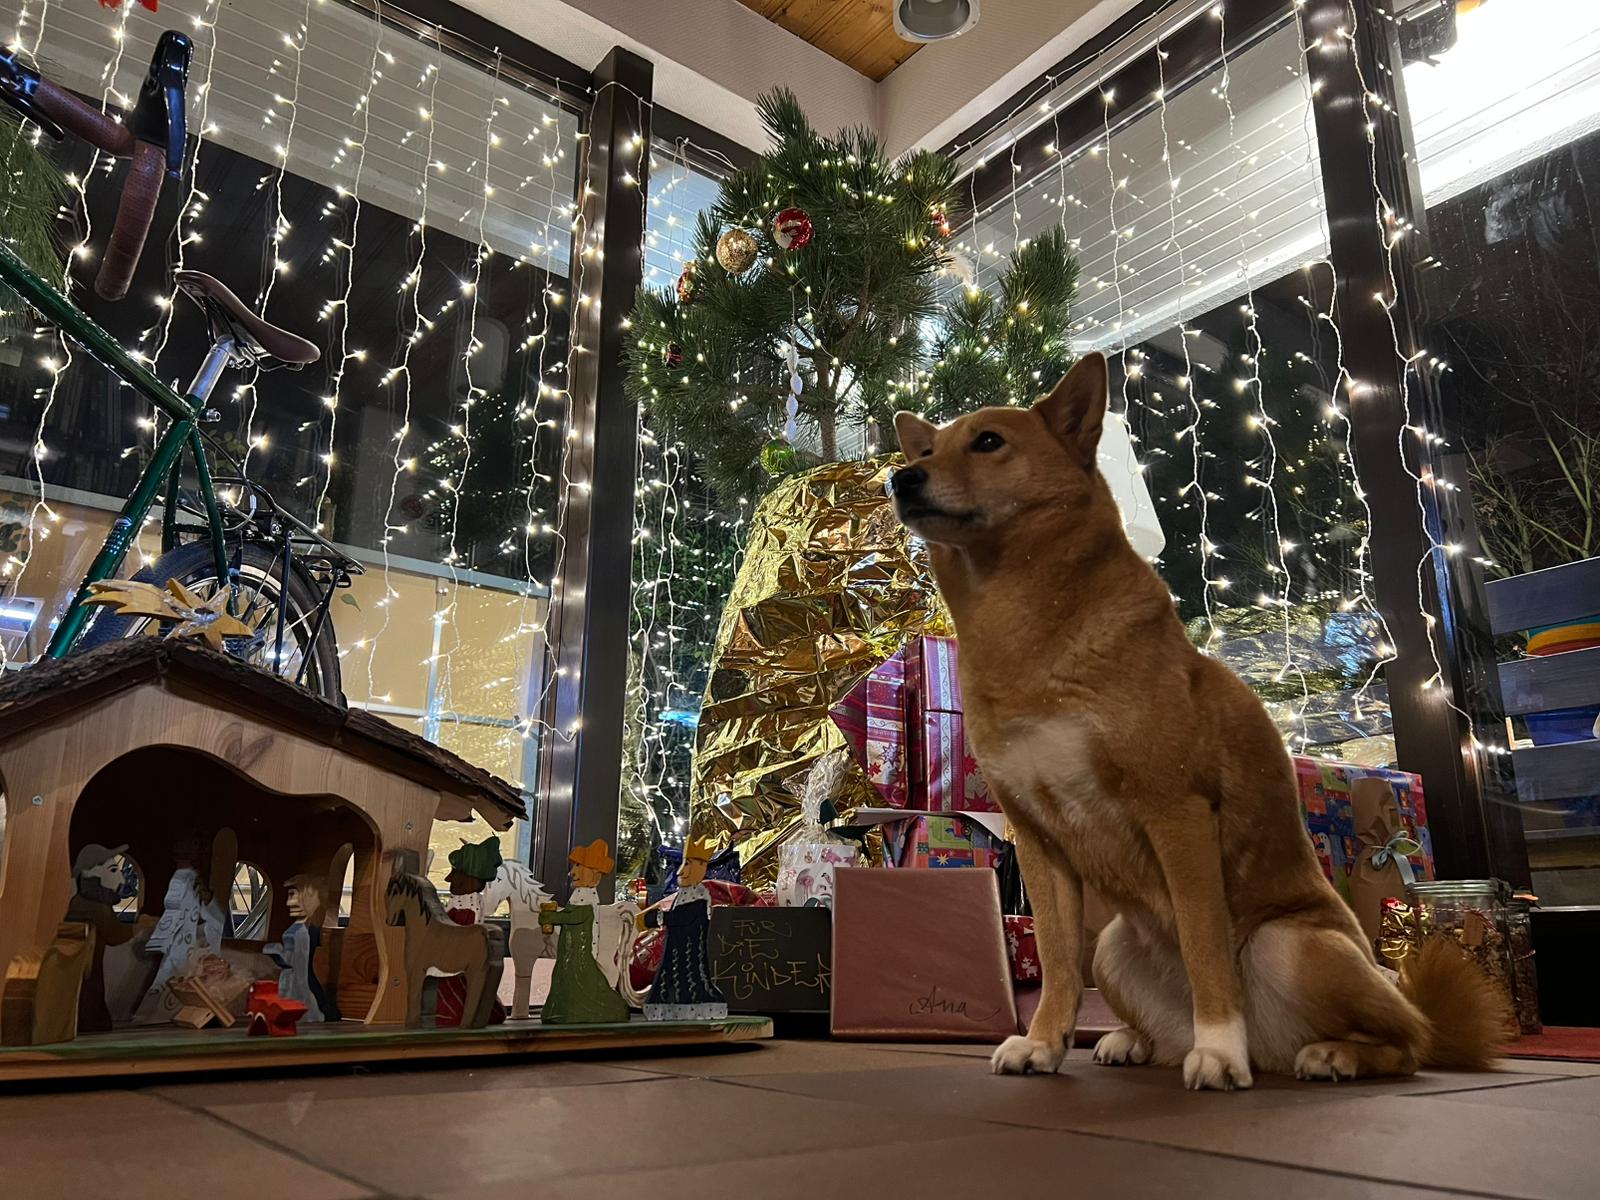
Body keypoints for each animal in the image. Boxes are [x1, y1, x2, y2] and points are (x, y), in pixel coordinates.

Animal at [891, 352, 1508, 1090]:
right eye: (925, 451)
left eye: (988, 441)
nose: (900, 477)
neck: (1024, 628)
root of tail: (1273, 1047)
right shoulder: (1039, 840)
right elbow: (1060, 962)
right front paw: (1042, 1043)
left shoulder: (1176, 810)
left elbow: (1204, 943)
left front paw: (1218, 1051)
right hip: (1116, 948)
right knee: (1152, 1023)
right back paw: (1132, 1040)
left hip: (1290, 946)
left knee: (1409, 1042)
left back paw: (1323, 1053)